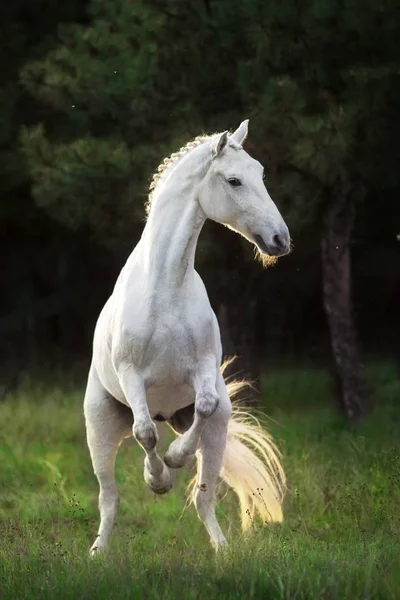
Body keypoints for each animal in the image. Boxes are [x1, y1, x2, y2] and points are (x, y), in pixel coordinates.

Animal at [85, 120, 290, 552]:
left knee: (203, 497)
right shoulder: (131, 375)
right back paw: (97, 553)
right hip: (99, 428)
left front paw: (176, 457)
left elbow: (205, 405)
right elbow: (145, 431)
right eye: (234, 180)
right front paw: (158, 479)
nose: (280, 240)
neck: (165, 287)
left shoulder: (203, 370)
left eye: (260, 173)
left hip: (216, 434)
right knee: (110, 498)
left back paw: (223, 551)